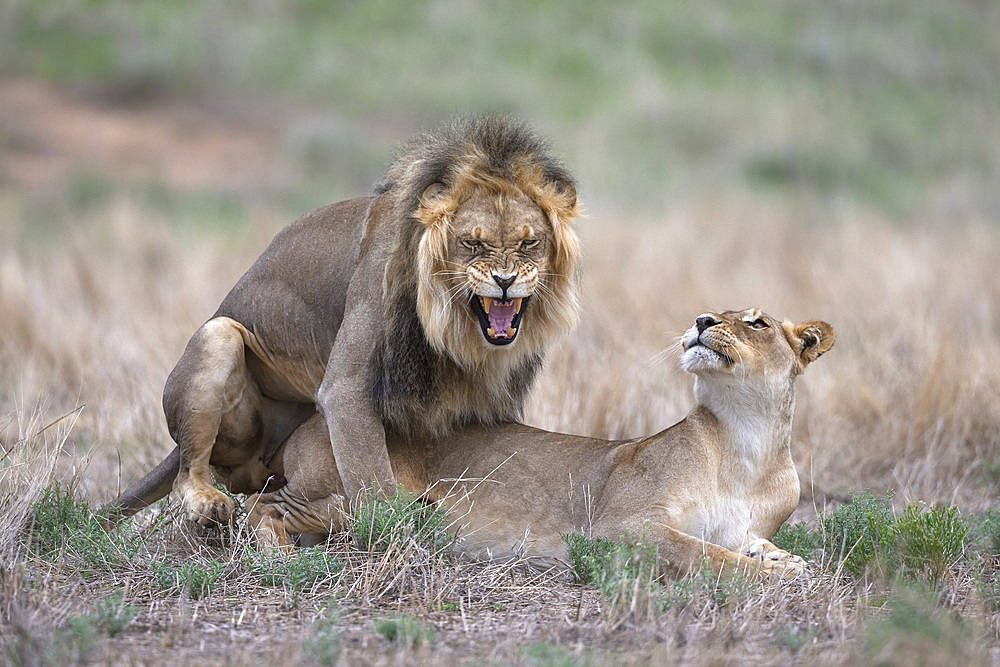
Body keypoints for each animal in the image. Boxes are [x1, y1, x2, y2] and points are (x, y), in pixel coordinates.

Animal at [105, 115, 584, 528]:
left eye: (529, 243)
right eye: (472, 244)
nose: (504, 281)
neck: (457, 335)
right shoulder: (348, 383)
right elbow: (374, 481)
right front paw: (401, 530)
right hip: (218, 336)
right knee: (189, 469)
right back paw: (207, 503)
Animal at [244, 310, 836, 576]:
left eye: (757, 322)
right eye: (714, 310)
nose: (702, 319)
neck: (745, 441)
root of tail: (310, 419)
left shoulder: (747, 526)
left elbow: (748, 545)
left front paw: (787, 561)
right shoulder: (620, 525)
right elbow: (705, 553)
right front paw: (775, 574)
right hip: (362, 500)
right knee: (261, 506)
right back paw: (276, 558)